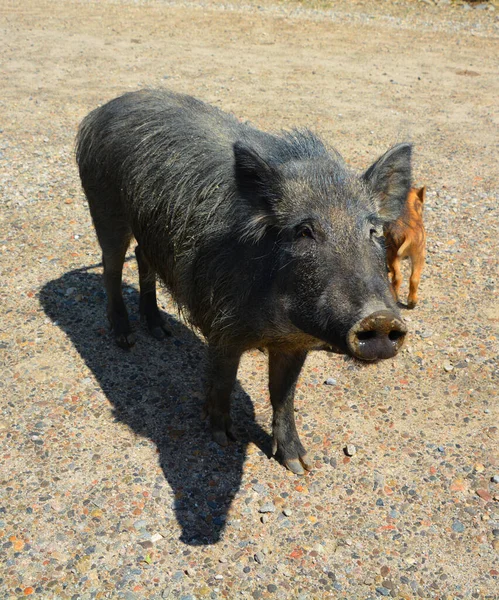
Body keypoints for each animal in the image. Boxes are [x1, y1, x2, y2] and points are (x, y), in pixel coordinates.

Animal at [76, 90, 408, 474]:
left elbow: (283, 394)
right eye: (304, 231)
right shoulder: (222, 327)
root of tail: (106, 107)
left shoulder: (296, 343)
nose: (380, 318)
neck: (276, 325)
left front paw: (299, 465)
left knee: (143, 257)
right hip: (104, 207)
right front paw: (223, 438)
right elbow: (223, 381)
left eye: (372, 231)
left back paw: (160, 330)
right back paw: (125, 338)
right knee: (111, 266)